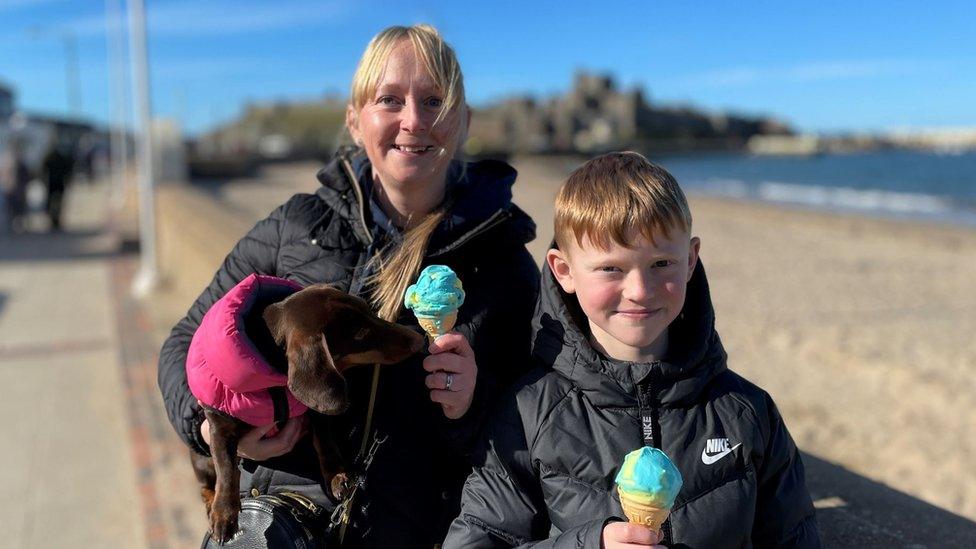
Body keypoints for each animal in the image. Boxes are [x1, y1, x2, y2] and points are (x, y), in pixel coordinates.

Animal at [187, 282, 424, 544]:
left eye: (369, 311)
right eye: (361, 333)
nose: (420, 340)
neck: (275, 381)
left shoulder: (316, 410)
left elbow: (324, 440)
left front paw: (337, 475)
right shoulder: (219, 425)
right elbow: (226, 468)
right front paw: (224, 515)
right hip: (201, 459)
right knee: (206, 485)